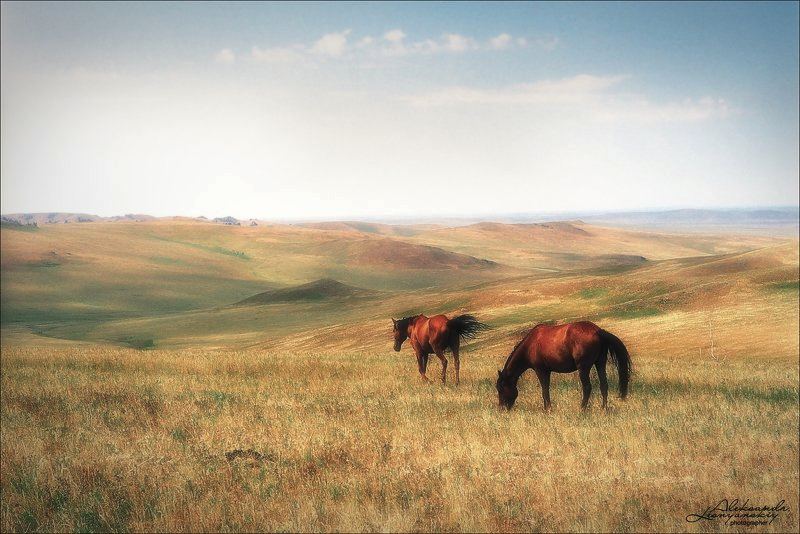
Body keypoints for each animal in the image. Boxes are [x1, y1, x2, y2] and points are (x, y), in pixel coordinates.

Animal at [494, 320, 632, 412]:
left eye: (501, 389)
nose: (501, 408)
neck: (530, 345)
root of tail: (598, 331)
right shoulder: (547, 371)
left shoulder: (541, 370)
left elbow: (545, 390)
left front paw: (548, 410)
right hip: (600, 363)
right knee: (604, 385)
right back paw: (604, 409)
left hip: (583, 368)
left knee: (587, 387)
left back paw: (582, 409)